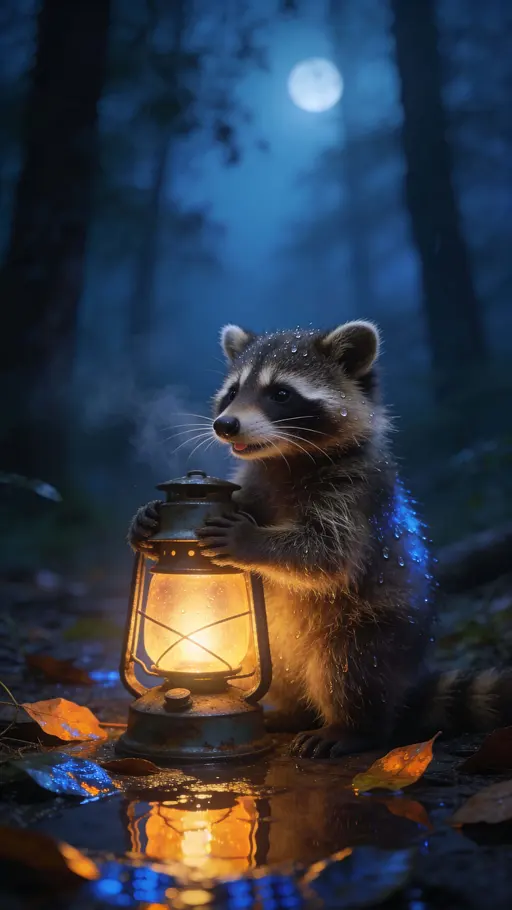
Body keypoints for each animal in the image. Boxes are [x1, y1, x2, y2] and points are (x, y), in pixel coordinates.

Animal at [130, 321, 512, 758]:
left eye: (281, 393)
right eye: (232, 392)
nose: (225, 425)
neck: (283, 457)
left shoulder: (356, 493)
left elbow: (327, 555)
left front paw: (249, 540)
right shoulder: (256, 480)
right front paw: (144, 518)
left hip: (374, 627)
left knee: (349, 670)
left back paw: (352, 726)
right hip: (274, 642)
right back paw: (294, 711)